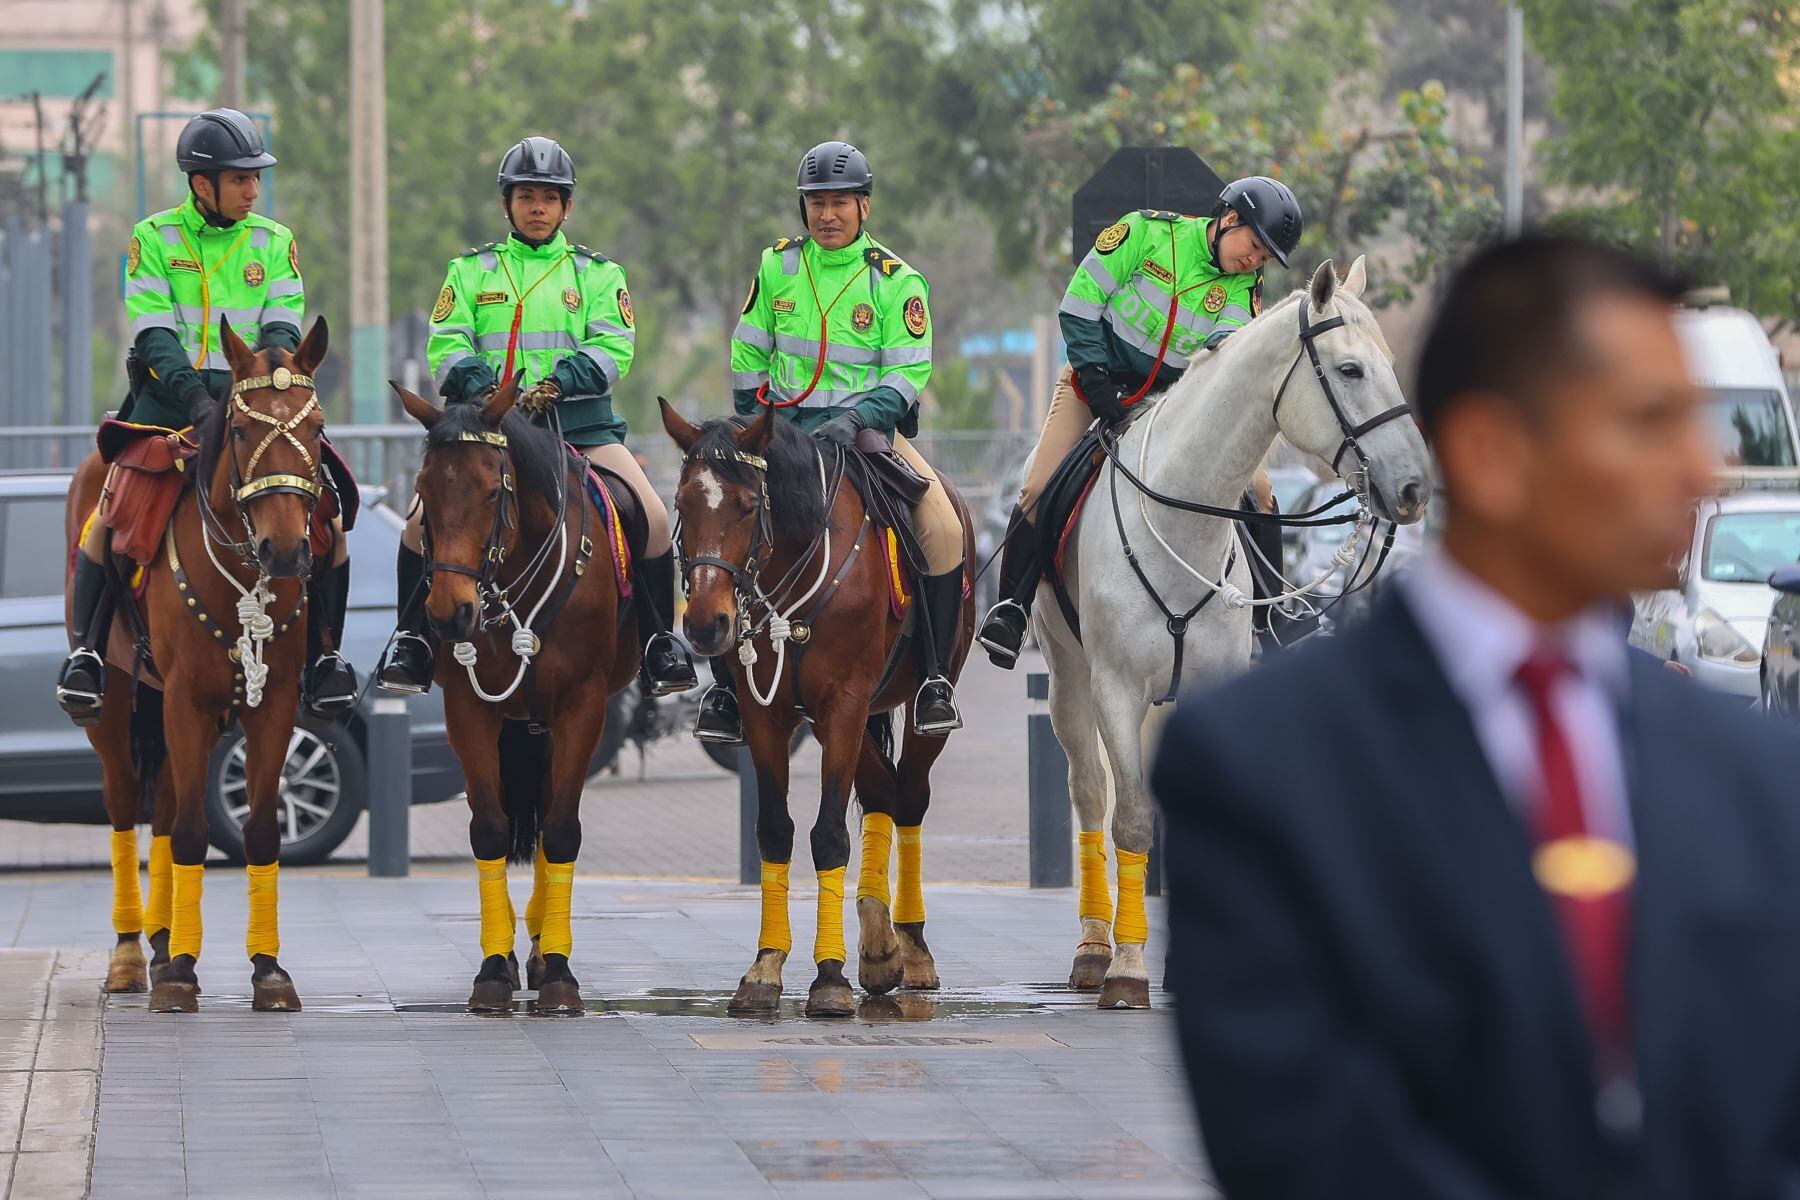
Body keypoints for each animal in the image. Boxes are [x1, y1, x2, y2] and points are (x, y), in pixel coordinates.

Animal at [65, 314, 331, 1007]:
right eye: (238, 429)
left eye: (316, 429)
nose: (286, 551)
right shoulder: (186, 700)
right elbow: (189, 831)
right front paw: (183, 971)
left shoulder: (273, 705)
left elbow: (259, 828)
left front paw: (267, 968)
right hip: (122, 702)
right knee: (127, 807)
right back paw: (134, 955)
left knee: (160, 811)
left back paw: (161, 945)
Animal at [394, 377, 640, 1014]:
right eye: (423, 492)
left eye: (489, 492)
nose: (448, 613)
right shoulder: (468, 710)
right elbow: (490, 828)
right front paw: (492, 968)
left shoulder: (583, 708)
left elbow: (562, 830)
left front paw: (557, 970)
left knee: (551, 819)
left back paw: (540, 944)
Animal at [658, 401, 972, 1014]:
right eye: (681, 505)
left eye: (748, 505)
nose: (705, 624)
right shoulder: (769, 715)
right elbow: (775, 830)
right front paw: (765, 966)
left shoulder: (844, 703)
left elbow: (828, 834)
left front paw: (829, 977)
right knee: (881, 791)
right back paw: (878, 948)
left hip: (910, 704)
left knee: (910, 796)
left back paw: (912, 947)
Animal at [1044, 259, 1432, 1007]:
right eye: (1349, 369)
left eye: (1391, 365)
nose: (1415, 488)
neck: (1180, 523)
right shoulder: (1115, 688)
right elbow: (1130, 818)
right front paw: (1129, 971)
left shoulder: (1207, 686)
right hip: (1069, 683)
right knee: (1089, 795)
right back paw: (1093, 950)